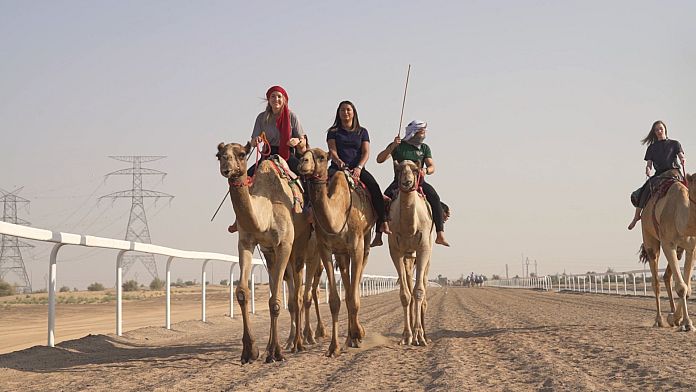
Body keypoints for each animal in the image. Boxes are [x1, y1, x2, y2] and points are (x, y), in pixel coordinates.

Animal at [216, 142, 312, 362]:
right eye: (219, 155)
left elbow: (276, 301)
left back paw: (298, 343)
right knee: (290, 292)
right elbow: (242, 292)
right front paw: (250, 351)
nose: (226, 168)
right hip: (270, 254)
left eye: (242, 154)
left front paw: (275, 352)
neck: (265, 214)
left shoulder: (284, 244)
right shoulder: (247, 242)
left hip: (299, 245)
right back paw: (285, 342)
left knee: (297, 294)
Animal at [298, 147, 376, 356]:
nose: (302, 163)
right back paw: (349, 338)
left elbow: (353, 297)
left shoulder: (356, 246)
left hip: (365, 242)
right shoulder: (325, 249)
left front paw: (358, 333)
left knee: (355, 285)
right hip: (341, 254)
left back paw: (356, 334)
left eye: (321, 157)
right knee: (347, 285)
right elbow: (335, 300)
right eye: (303, 154)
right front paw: (334, 347)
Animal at [640, 172, 696, 330]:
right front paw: (686, 323)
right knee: (655, 281)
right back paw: (659, 320)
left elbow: (688, 288)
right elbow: (682, 287)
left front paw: (678, 319)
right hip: (649, 237)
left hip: (679, 250)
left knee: (666, 276)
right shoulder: (668, 243)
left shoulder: (691, 248)